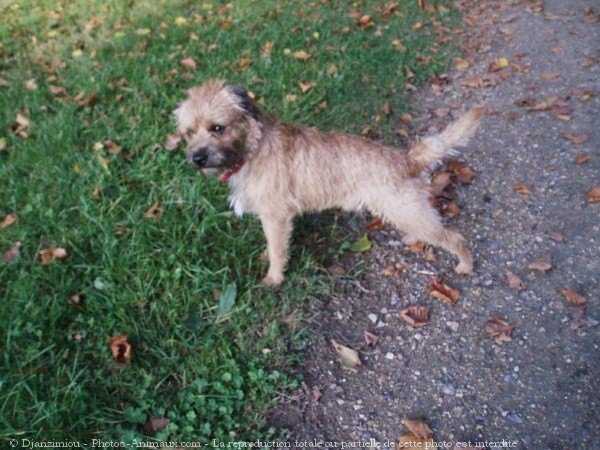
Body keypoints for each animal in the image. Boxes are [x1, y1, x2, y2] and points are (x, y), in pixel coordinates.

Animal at [173, 78, 482, 284]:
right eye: (188, 133)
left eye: (217, 128)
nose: (197, 158)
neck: (252, 148)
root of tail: (407, 159)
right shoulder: (270, 218)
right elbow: (270, 245)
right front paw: (264, 259)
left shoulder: (276, 217)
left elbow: (277, 250)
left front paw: (273, 279)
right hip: (407, 211)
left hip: (408, 210)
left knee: (454, 237)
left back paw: (465, 265)